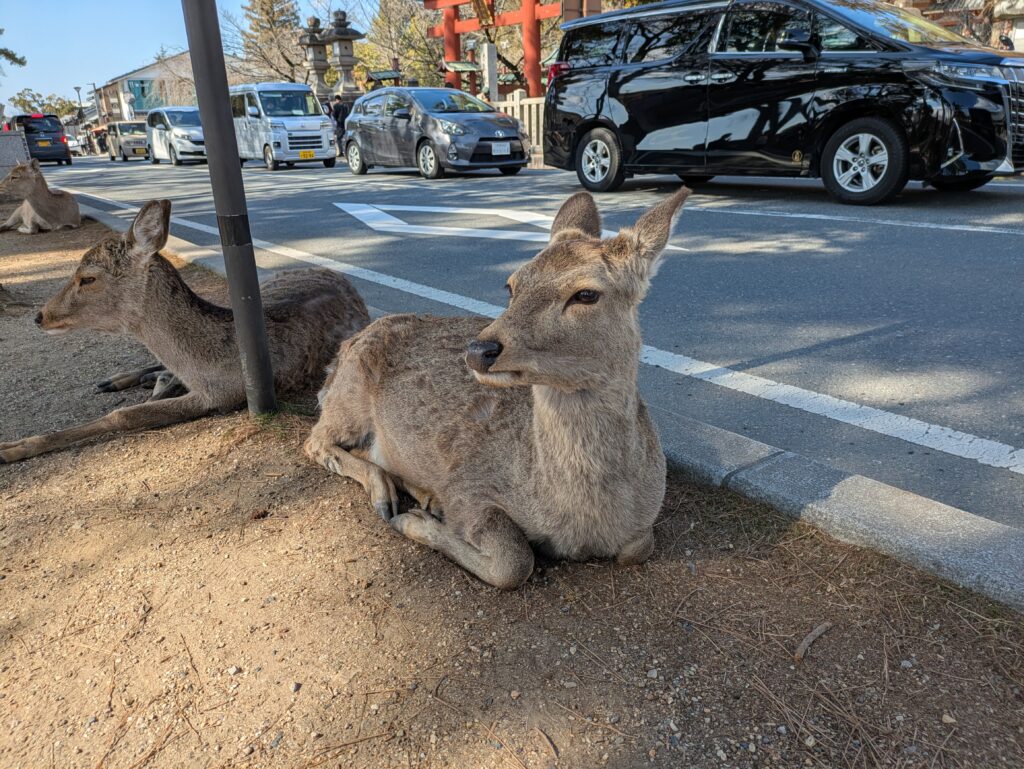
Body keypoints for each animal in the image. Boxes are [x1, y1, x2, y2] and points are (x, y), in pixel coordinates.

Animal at [0, 199, 369, 464]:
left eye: (88, 277)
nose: (40, 316)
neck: (209, 364)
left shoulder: (220, 396)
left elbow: (124, 415)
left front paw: (10, 448)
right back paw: (120, 378)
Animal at [305, 188, 689, 590]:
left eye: (586, 294)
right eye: (512, 285)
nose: (479, 349)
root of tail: (341, 353)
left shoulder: (646, 520)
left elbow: (638, 548)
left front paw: (426, 513)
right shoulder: (469, 485)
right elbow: (514, 561)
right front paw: (414, 523)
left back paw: (424, 496)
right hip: (348, 398)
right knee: (316, 440)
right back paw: (388, 498)